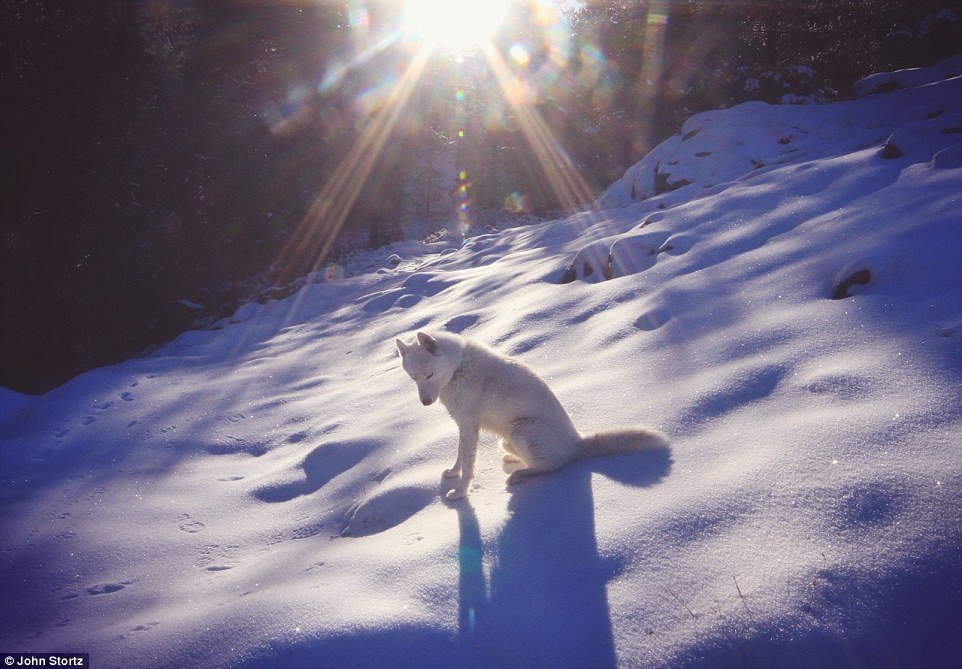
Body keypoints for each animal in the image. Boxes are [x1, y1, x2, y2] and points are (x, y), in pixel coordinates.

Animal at [394, 332, 664, 498]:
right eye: (413, 378)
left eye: (429, 375)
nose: (425, 402)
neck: (458, 367)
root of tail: (577, 443)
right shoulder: (464, 426)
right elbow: (461, 457)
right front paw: (453, 472)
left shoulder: (469, 426)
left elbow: (469, 463)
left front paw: (460, 493)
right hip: (506, 437)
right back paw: (514, 460)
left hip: (520, 429)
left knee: (551, 466)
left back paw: (521, 474)